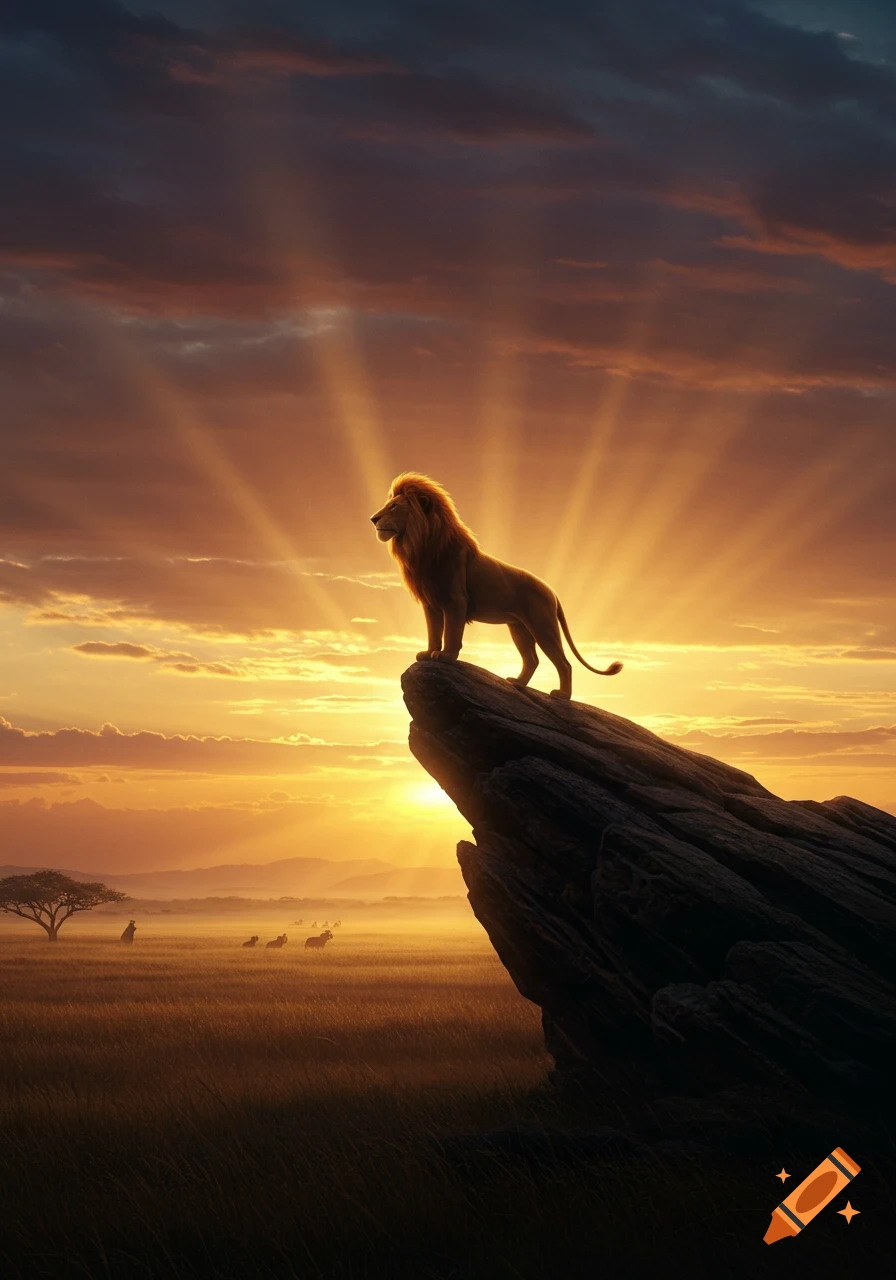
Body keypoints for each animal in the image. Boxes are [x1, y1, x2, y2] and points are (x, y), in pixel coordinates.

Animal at [370, 472, 622, 699]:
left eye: (393, 507)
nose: (373, 518)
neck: (420, 546)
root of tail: (552, 592)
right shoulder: (431, 604)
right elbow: (434, 631)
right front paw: (428, 652)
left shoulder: (455, 600)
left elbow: (451, 631)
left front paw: (446, 656)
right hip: (519, 628)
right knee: (532, 659)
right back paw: (517, 683)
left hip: (543, 625)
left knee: (563, 662)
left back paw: (562, 695)